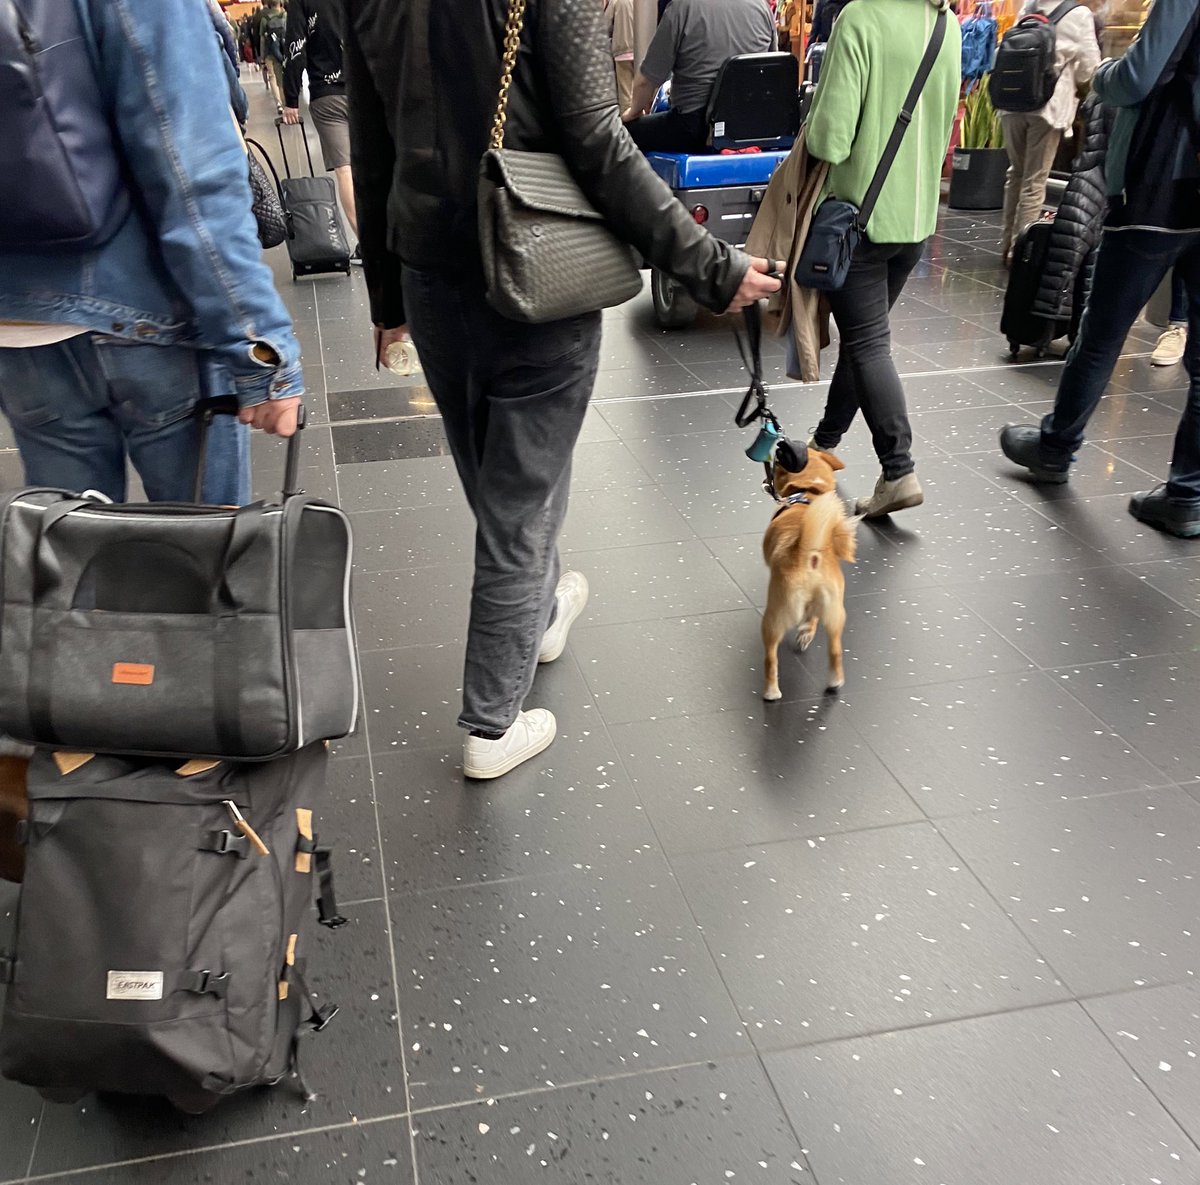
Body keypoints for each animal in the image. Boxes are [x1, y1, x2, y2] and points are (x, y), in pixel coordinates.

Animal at [763, 443, 859, 705]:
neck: (809, 491)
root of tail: (809, 556)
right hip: (836, 613)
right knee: (834, 650)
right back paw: (834, 680)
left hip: (773, 619)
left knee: (771, 659)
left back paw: (771, 692)